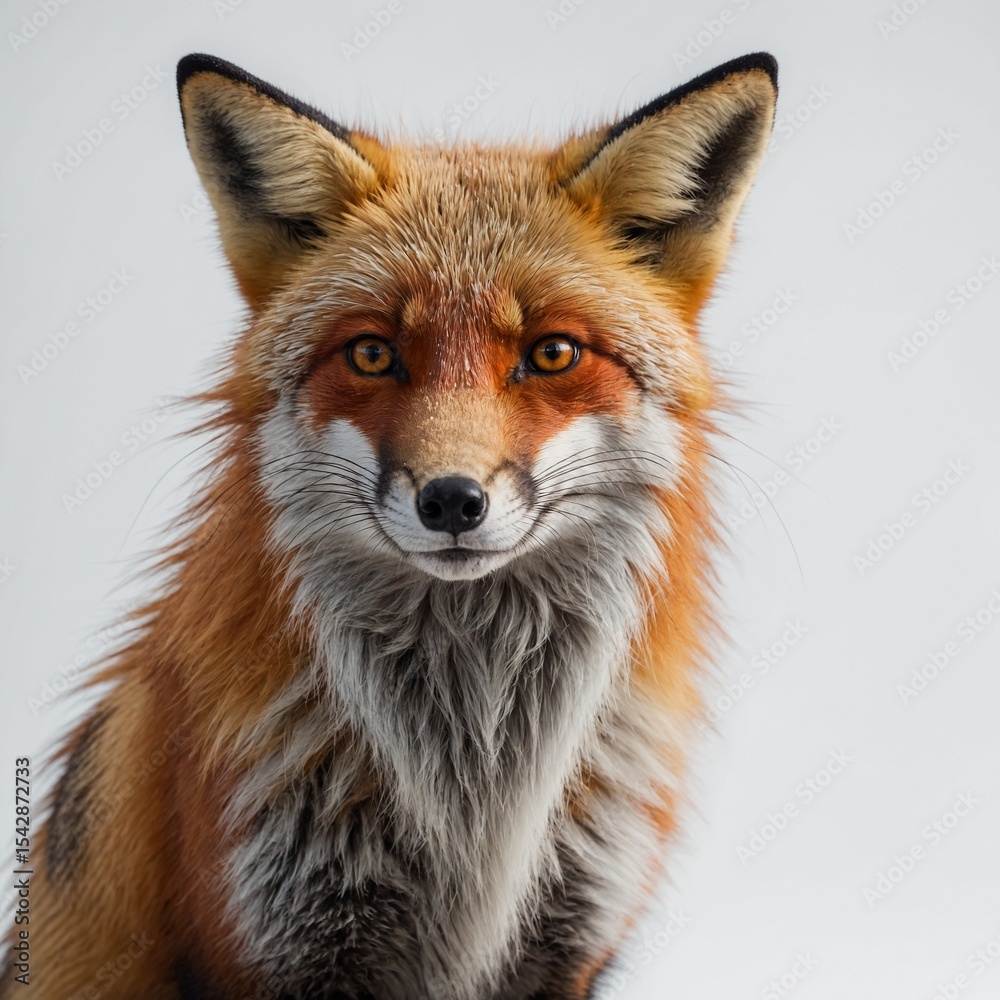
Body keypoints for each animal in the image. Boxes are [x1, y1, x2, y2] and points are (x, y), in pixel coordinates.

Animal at [3, 51, 777, 999]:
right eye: (372, 353)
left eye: (552, 353)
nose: (450, 501)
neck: (473, 798)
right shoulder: (268, 938)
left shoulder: (569, 940)